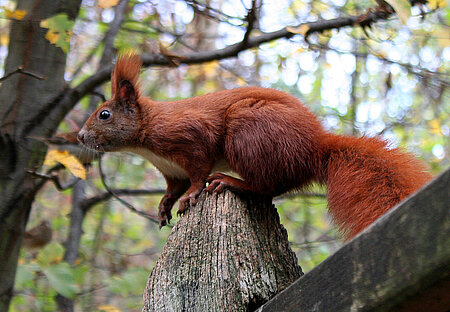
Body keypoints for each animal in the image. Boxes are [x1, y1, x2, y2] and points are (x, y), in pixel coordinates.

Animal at [77, 54, 432, 239]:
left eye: (104, 114)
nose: (80, 137)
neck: (145, 138)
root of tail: (314, 148)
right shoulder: (171, 171)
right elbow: (172, 188)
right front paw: (164, 207)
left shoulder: (191, 139)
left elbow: (197, 174)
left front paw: (191, 197)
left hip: (248, 129)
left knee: (266, 186)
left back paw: (231, 181)